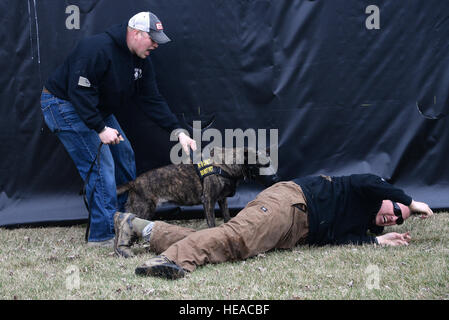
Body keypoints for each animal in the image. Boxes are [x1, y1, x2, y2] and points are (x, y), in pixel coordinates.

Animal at [114, 148, 280, 228]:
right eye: (264, 164)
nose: (276, 178)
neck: (224, 165)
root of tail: (134, 182)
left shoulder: (222, 200)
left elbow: (227, 216)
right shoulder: (208, 200)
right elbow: (211, 222)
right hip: (144, 210)